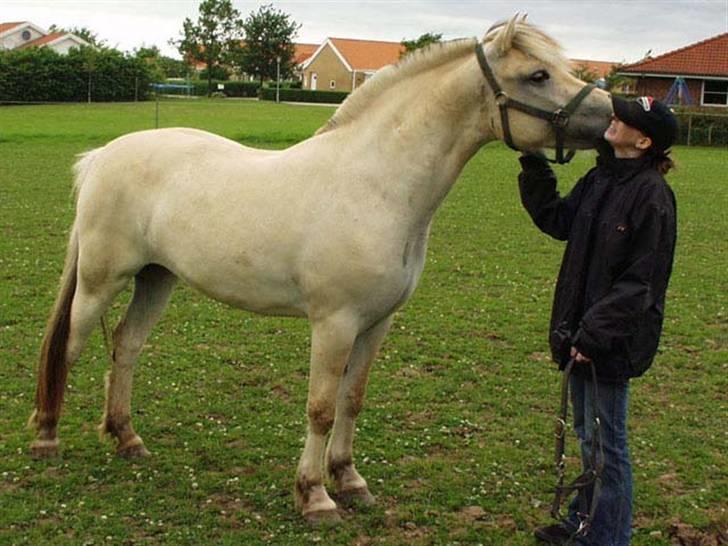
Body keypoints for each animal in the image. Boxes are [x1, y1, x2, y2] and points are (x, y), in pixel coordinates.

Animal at [25, 14, 612, 520]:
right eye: (537, 74)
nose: (610, 115)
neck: (376, 184)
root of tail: (102, 156)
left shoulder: (377, 323)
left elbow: (352, 400)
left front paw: (349, 481)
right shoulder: (334, 323)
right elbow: (322, 407)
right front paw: (314, 496)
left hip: (156, 278)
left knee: (125, 347)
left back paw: (127, 438)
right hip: (101, 280)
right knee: (69, 347)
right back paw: (47, 438)